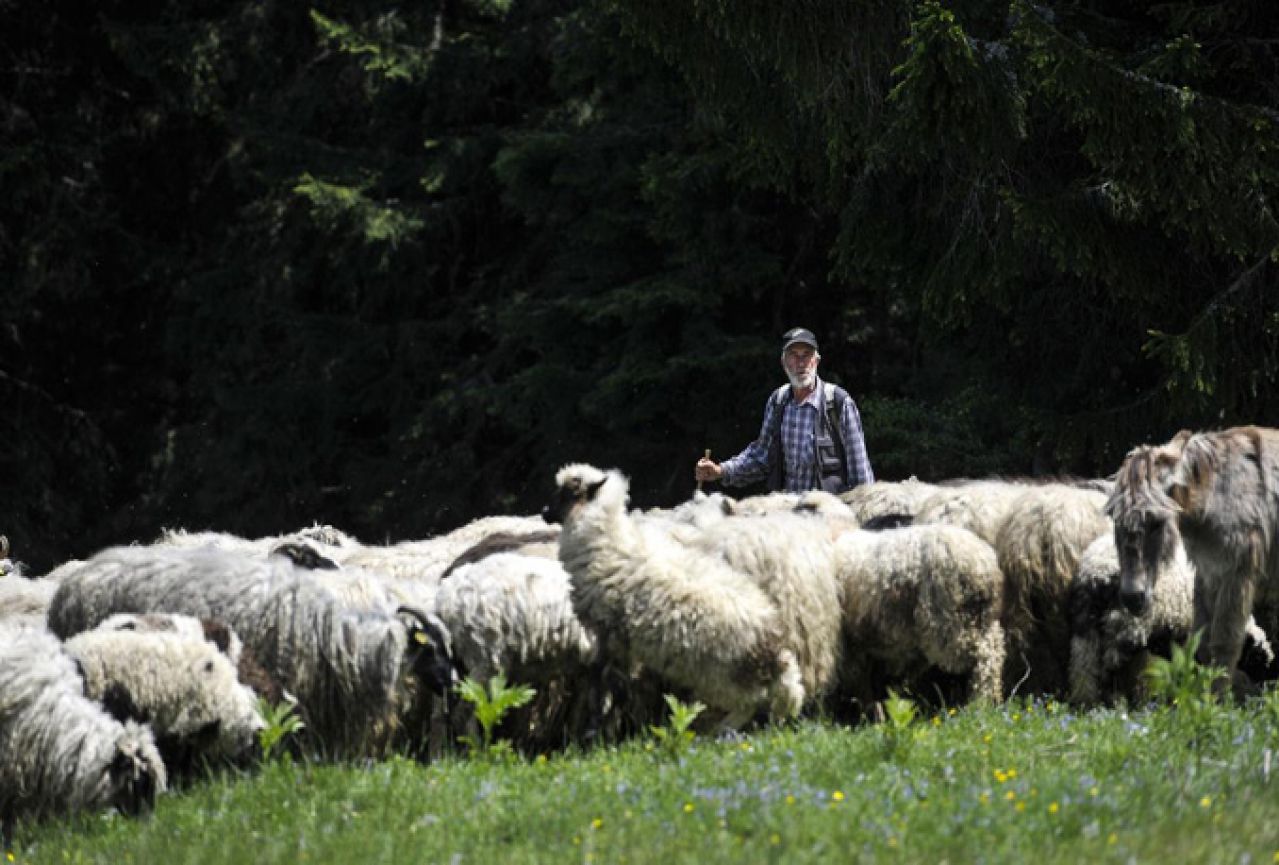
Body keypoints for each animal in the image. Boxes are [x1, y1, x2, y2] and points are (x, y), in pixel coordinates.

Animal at [544, 465, 803, 731]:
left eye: (567, 492)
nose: (544, 512)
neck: (605, 536)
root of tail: (774, 646)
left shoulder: (608, 633)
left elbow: (606, 678)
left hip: (724, 676)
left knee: (748, 705)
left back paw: (720, 730)